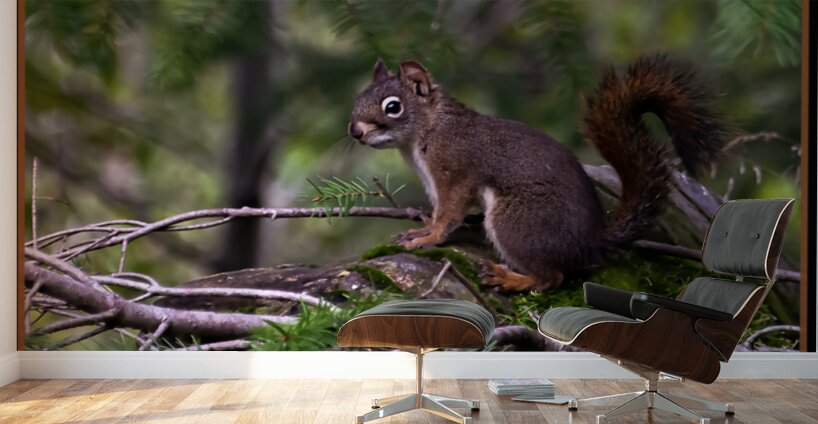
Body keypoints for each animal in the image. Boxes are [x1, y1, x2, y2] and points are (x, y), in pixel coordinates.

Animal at [347, 55, 722, 292]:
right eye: (359, 98)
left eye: (392, 107)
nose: (355, 132)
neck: (429, 131)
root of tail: (589, 242)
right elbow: (438, 210)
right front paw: (421, 228)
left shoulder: (456, 171)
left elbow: (450, 212)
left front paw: (429, 238)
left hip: (518, 222)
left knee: (551, 278)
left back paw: (512, 279)